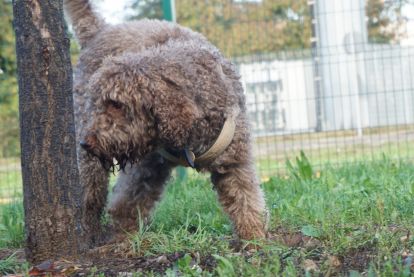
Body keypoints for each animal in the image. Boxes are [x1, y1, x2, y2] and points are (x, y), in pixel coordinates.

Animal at [63, 0, 266, 244]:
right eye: (100, 104)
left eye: (117, 104)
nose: (87, 142)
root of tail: (100, 30)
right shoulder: (146, 168)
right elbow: (126, 204)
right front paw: (123, 238)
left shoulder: (234, 161)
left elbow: (246, 200)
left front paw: (254, 239)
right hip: (89, 159)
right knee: (89, 195)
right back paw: (89, 232)